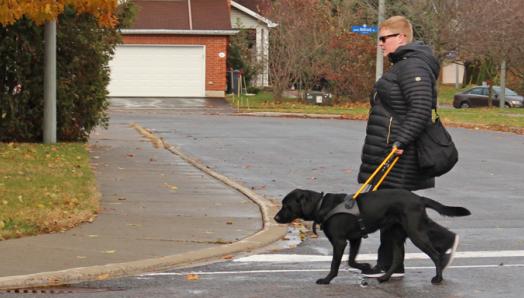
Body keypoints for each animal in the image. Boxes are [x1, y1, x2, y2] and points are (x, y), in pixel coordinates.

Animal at [274, 189, 470, 284]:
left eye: (286, 205)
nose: (275, 218)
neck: (321, 205)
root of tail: (419, 198)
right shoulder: (355, 238)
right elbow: (351, 260)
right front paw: (365, 266)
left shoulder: (339, 242)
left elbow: (335, 264)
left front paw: (327, 280)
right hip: (395, 234)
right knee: (398, 258)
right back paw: (384, 278)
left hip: (415, 232)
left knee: (435, 254)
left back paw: (438, 278)